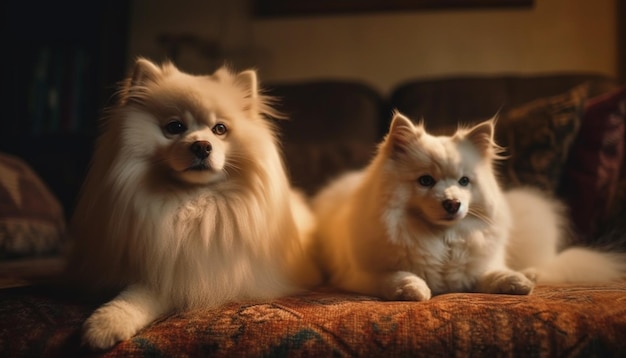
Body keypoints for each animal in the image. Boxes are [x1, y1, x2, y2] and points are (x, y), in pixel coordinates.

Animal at [62, 58, 316, 350]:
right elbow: (138, 293)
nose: (202, 145)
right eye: (175, 127)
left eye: (220, 129)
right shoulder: (161, 266)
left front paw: (103, 326)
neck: (192, 203)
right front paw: (107, 322)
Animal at [312, 110, 624, 300]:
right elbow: (396, 276)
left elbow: (494, 273)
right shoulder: (359, 275)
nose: (453, 203)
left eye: (464, 181)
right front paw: (413, 289)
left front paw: (517, 283)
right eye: (425, 181)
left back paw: (529, 273)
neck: (442, 238)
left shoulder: (479, 268)